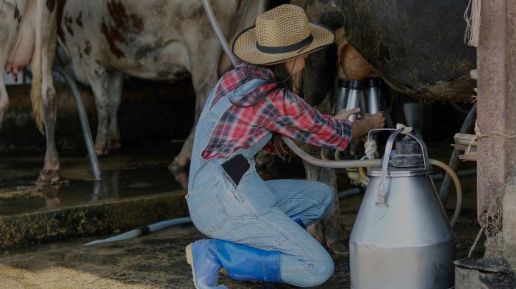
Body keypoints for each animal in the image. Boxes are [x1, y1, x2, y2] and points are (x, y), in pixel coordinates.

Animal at [56, 0, 264, 177]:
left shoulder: (90, 56)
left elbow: (102, 102)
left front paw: (98, 147)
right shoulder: (114, 64)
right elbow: (114, 100)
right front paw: (113, 141)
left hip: (203, 45)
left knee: (204, 98)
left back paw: (182, 158)